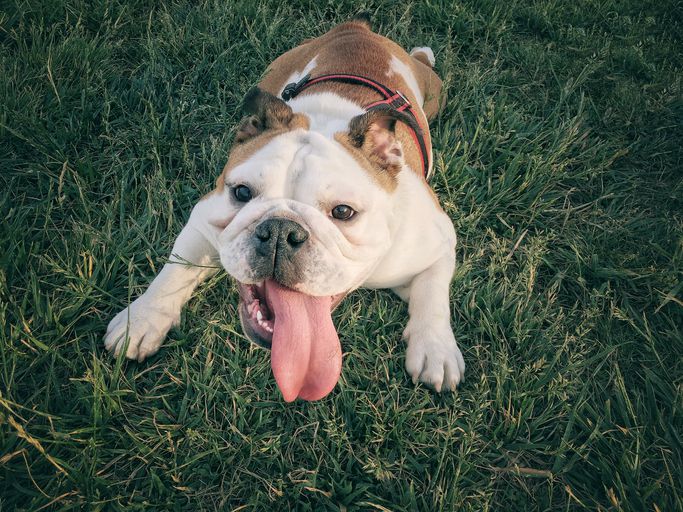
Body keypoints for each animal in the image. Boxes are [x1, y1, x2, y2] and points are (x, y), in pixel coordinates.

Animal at [104, 16, 464, 402]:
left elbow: (433, 292)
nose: (280, 230)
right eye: (242, 192)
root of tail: (356, 29)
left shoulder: (438, 241)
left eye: (343, 212)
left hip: (435, 92)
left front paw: (435, 348)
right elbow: (176, 270)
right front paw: (144, 318)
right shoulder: (204, 218)